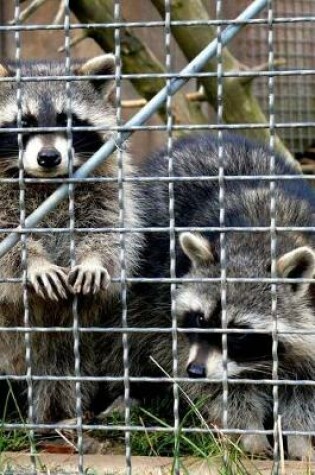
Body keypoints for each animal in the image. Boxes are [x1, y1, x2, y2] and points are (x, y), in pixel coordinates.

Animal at [0, 55, 142, 424]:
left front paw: (93, 259)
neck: (44, 181)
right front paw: (33, 263)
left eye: (68, 120)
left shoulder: (105, 184)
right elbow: (7, 241)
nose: (48, 157)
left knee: (63, 361)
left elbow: (108, 229)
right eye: (24, 122)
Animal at [103, 134, 315, 462]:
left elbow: (306, 388)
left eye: (239, 334)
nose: (196, 371)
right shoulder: (171, 312)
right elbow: (221, 388)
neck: (258, 239)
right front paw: (249, 432)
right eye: (200, 319)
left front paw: (301, 438)